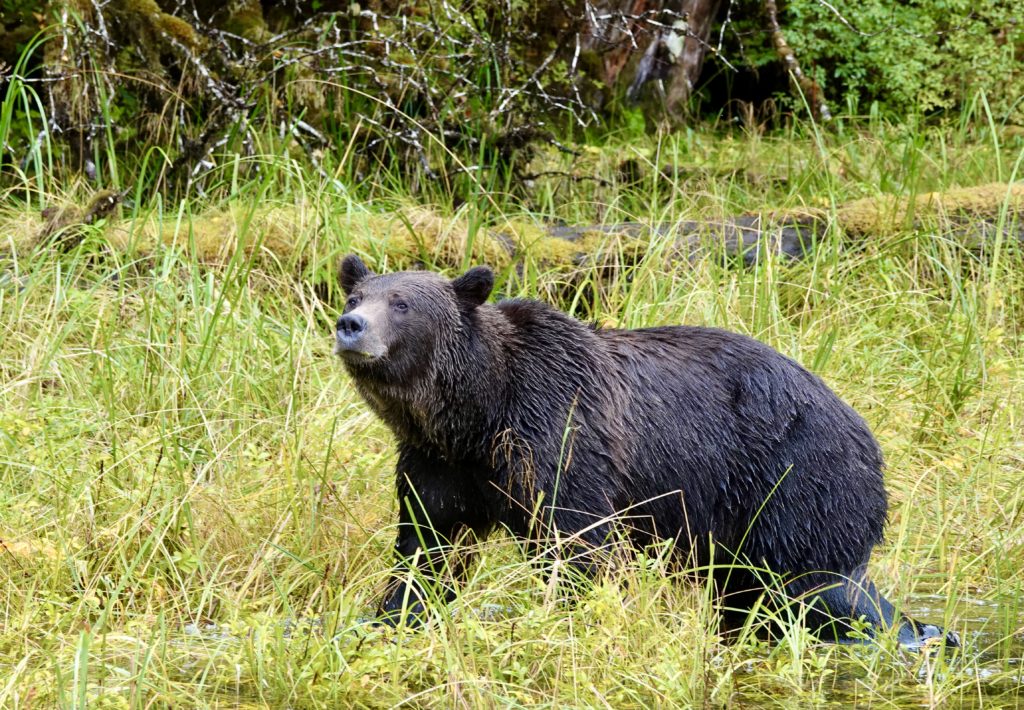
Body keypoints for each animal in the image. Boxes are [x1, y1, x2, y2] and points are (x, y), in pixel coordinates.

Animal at [333, 254, 957, 647]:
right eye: (358, 292)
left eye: (402, 302)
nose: (351, 324)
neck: (476, 412)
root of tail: (867, 434)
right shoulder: (440, 464)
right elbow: (426, 547)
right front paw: (387, 618)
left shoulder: (559, 434)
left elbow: (577, 543)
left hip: (797, 482)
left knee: (818, 588)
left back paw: (912, 634)